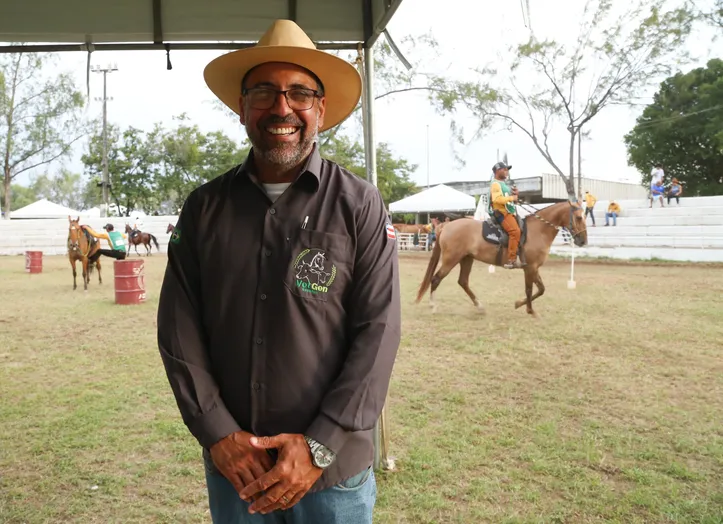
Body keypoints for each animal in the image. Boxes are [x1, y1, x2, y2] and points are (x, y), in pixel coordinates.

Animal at [416, 200, 592, 316]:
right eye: (578, 217)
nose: (583, 241)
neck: (538, 230)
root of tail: (446, 226)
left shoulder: (534, 268)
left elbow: (541, 289)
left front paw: (518, 304)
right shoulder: (530, 267)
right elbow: (530, 289)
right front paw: (530, 311)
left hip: (466, 258)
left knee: (463, 281)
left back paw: (479, 306)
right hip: (451, 259)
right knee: (436, 279)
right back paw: (433, 306)